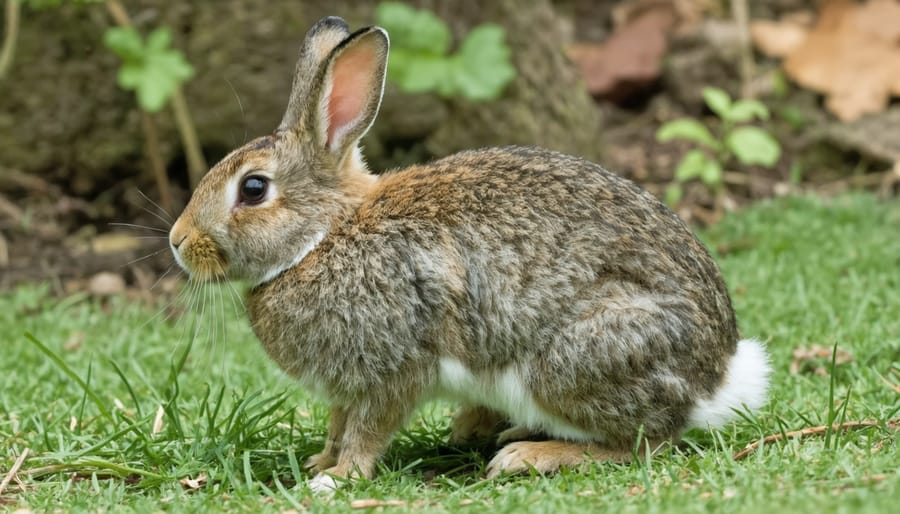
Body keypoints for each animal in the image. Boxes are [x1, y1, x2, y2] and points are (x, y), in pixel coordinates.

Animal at [169, 16, 771, 492]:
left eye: (253, 189)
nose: (177, 242)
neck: (323, 236)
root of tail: (718, 374)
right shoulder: (348, 384)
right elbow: (339, 423)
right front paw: (319, 460)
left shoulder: (392, 366)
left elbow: (368, 429)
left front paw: (337, 478)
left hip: (573, 360)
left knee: (648, 441)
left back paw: (528, 455)